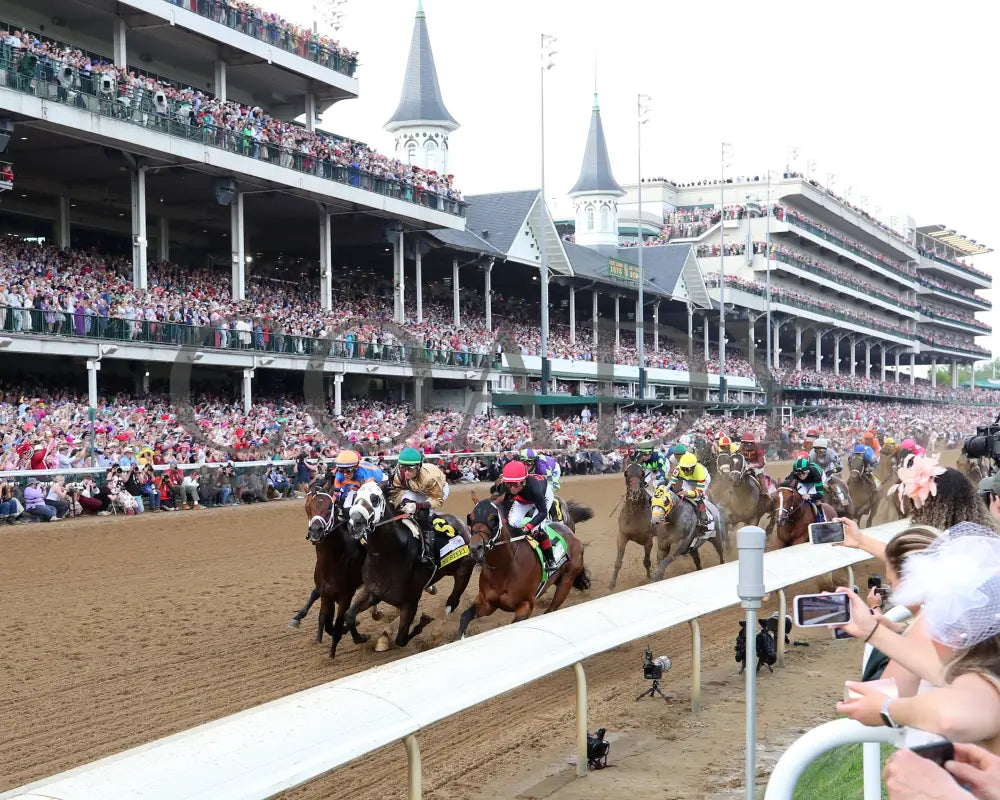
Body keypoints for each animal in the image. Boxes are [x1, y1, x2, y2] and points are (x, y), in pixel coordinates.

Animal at [340, 482, 476, 648]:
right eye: (355, 498)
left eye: (375, 499)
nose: (355, 524)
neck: (388, 556)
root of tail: (464, 526)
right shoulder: (372, 591)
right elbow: (349, 615)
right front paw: (360, 637)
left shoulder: (410, 602)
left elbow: (401, 640)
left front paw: (424, 621)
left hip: (463, 571)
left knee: (452, 601)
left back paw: (440, 632)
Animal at [458, 494, 588, 636]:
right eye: (471, 518)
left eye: (493, 518)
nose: (475, 548)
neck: (505, 568)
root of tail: (570, 532)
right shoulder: (487, 603)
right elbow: (464, 617)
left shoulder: (525, 606)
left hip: (566, 581)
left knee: (552, 608)